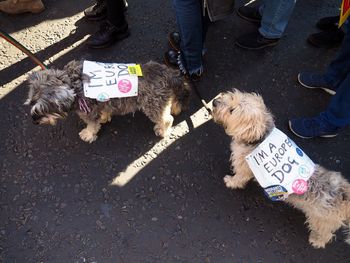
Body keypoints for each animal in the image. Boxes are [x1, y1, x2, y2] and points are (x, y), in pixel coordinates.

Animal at [25, 60, 191, 143]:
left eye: (43, 109)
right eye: (30, 102)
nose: (34, 122)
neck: (71, 84)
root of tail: (168, 74)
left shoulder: (88, 112)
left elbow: (91, 125)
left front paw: (88, 134)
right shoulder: (101, 102)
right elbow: (104, 111)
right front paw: (104, 118)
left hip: (153, 106)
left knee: (167, 119)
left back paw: (162, 130)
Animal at [211, 90, 350, 250]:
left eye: (232, 110)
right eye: (232, 96)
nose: (214, 102)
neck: (260, 137)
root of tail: (343, 193)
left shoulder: (243, 167)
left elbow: (239, 178)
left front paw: (231, 182)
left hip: (321, 221)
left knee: (326, 234)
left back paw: (317, 241)